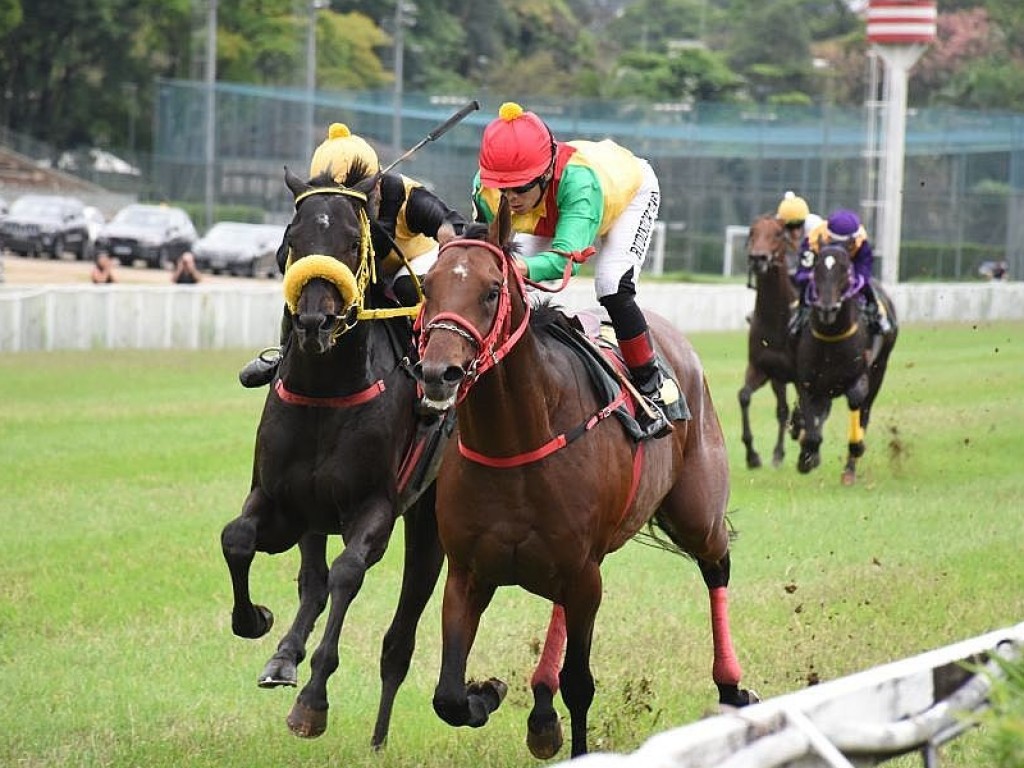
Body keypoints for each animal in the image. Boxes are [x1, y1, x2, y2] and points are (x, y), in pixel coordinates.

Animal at [218, 165, 446, 749]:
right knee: (311, 581)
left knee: (403, 612)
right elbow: (239, 538)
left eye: (350, 241)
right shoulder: (281, 498)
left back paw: (378, 732)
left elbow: (346, 574)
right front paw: (256, 621)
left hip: (430, 515)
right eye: (291, 240)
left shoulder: (375, 507)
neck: (325, 391)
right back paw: (283, 655)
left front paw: (312, 702)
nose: (314, 323)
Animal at [411, 196, 757, 757]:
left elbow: (579, 684)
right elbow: (449, 696)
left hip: (696, 510)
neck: (514, 443)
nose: (438, 373)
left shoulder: (584, 575)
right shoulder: (468, 571)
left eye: (491, 290)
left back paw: (730, 687)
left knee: (716, 567)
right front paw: (489, 693)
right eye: (427, 287)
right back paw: (540, 706)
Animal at [790, 240, 897, 483]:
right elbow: (812, 429)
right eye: (816, 269)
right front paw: (806, 457)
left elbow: (856, 399)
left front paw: (856, 447)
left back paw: (850, 469)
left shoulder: (859, 376)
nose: (827, 308)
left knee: (864, 411)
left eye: (845, 270)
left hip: (880, 368)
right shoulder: (808, 383)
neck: (831, 337)